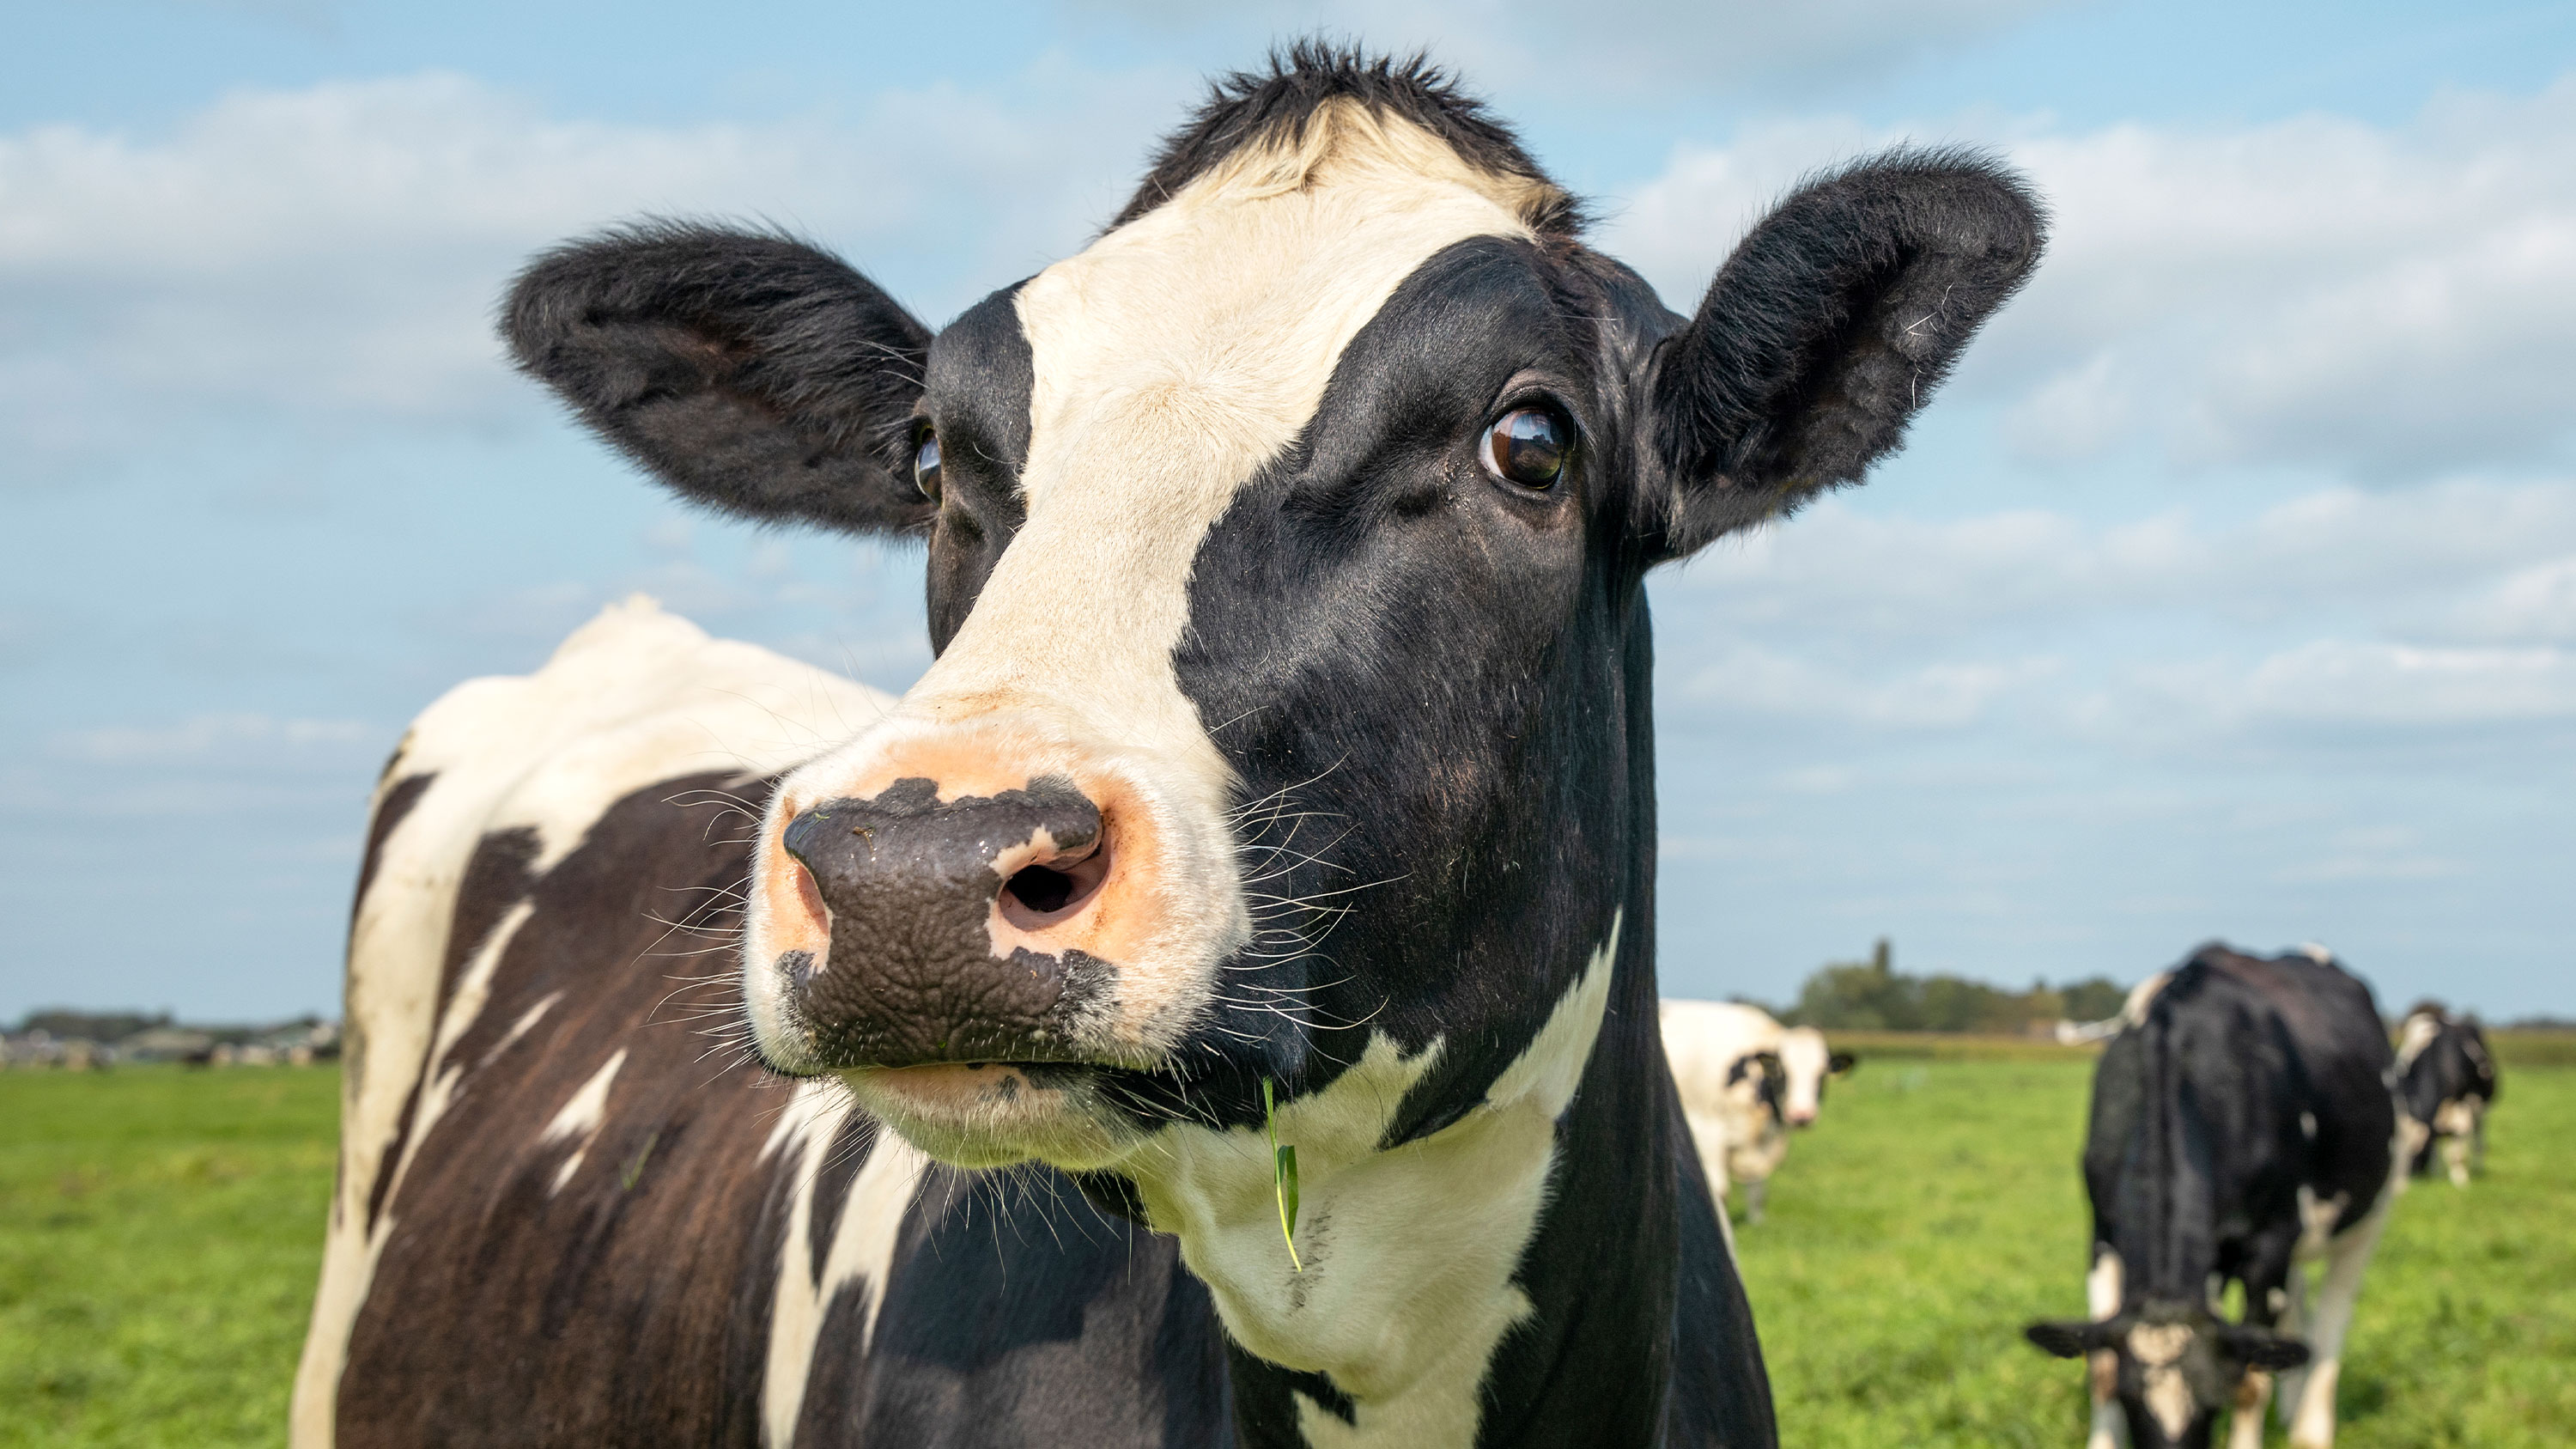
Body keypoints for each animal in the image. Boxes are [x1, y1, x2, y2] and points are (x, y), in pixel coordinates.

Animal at [1659, 1000, 1865, 1237]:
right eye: (1783, 1072)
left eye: (1821, 1074)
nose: (1801, 1115)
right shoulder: (1708, 1130)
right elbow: (1719, 1192)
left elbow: (1758, 1190)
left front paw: (1757, 1225)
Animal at [2020, 943, 2401, 1433]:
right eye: (2129, 1400)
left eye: (2212, 1403)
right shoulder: (2103, 1234)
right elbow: (2100, 1370)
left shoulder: (2269, 1247)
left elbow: (2251, 1381)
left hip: (2369, 1216)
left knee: (2334, 1317)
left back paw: (2310, 1428)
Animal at [2391, 989, 2494, 1185]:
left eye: (2414, 1154)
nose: (2406, 1181)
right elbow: (2438, 1143)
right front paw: (2437, 1173)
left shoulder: (2463, 1107)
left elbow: (2458, 1146)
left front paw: (2460, 1179)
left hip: (2479, 1108)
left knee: (2478, 1135)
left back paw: (2477, 1166)